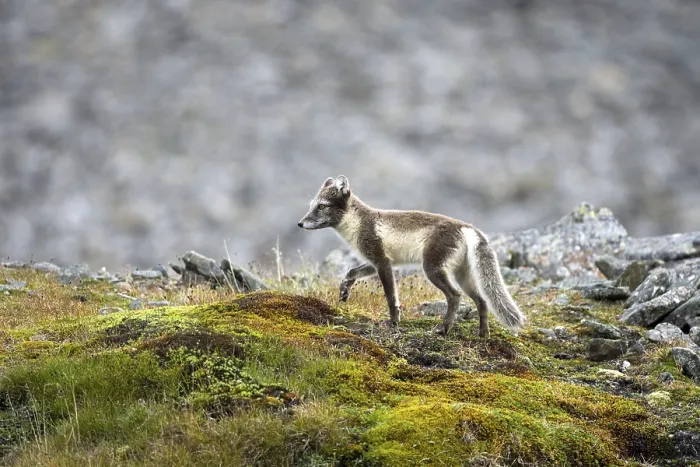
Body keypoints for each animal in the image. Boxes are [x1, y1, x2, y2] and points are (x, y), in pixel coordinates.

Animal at [297, 175, 526, 337]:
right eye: (311, 205)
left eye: (322, 206)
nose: (300, 223)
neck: (358, 223)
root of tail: (467, 227)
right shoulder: (376, 261)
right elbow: (351, 272)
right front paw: (344, 292)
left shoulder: (382, 262)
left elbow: (391, 297)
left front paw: (393, 323)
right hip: (463, 274)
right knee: (482, 300)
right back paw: (483, 334)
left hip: (432, 269)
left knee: (455, 296)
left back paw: (443, 329)